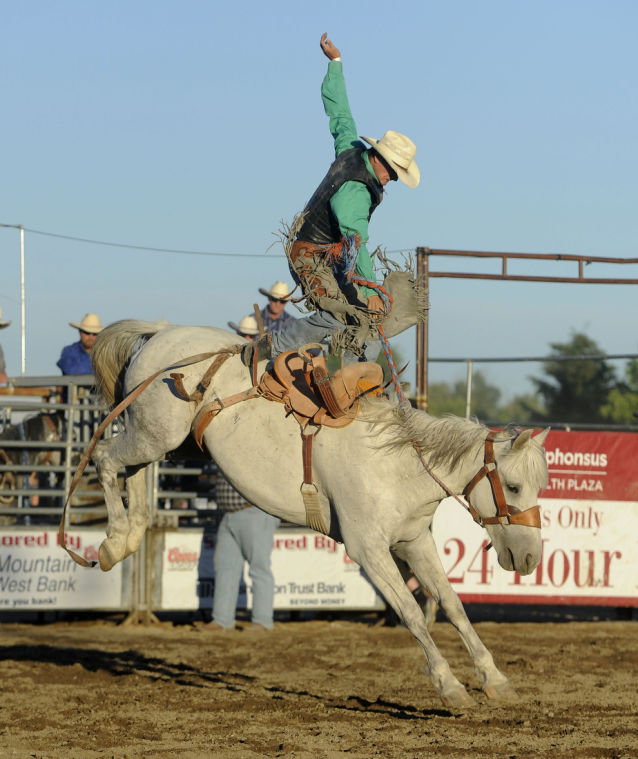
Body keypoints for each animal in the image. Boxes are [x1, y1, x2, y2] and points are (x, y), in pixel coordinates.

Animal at [85, 318, 552, 708]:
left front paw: (495, 679)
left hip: (158, 440)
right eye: (513, 486)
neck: (398, 463)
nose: (530, 556)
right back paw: (111, 544)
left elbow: (452, 605)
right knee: (106, 459)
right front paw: (450, 685)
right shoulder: (369, 550)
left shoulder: (414, 541)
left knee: (135, 475)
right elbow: (412, 613)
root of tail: (163, 332)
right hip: (152, 435)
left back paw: (127, 538)